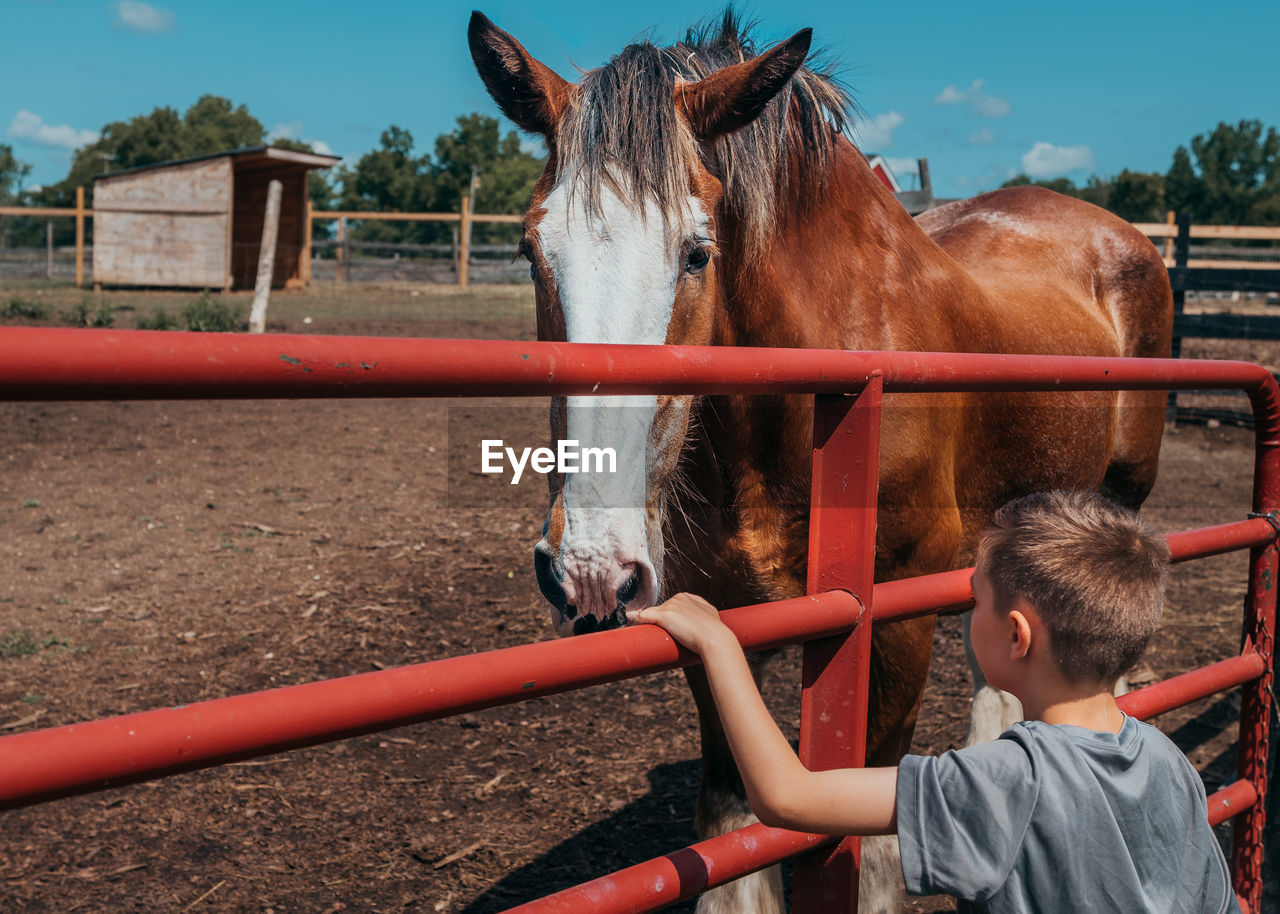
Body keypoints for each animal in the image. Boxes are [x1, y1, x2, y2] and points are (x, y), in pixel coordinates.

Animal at [468, 10, 1172, 906]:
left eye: (697, 252)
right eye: (532, 251)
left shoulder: (895, 620)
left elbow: (871, 844)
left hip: (1122, 495)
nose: (591, 568)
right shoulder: (721, 629)